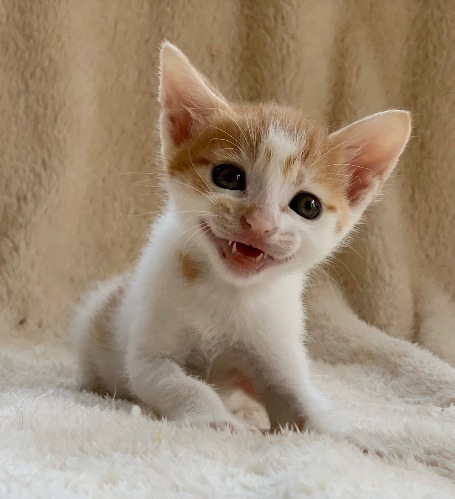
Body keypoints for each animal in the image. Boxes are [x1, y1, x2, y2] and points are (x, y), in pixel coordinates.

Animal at [71, 42, 411, 448]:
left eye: (307, 205)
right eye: (229, 176)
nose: (259, 225)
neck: (229, 291)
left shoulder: (277, 352)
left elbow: (304, 400)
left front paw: (354, 436)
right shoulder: (149, 356)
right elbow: (181, 384)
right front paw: (217, 420)